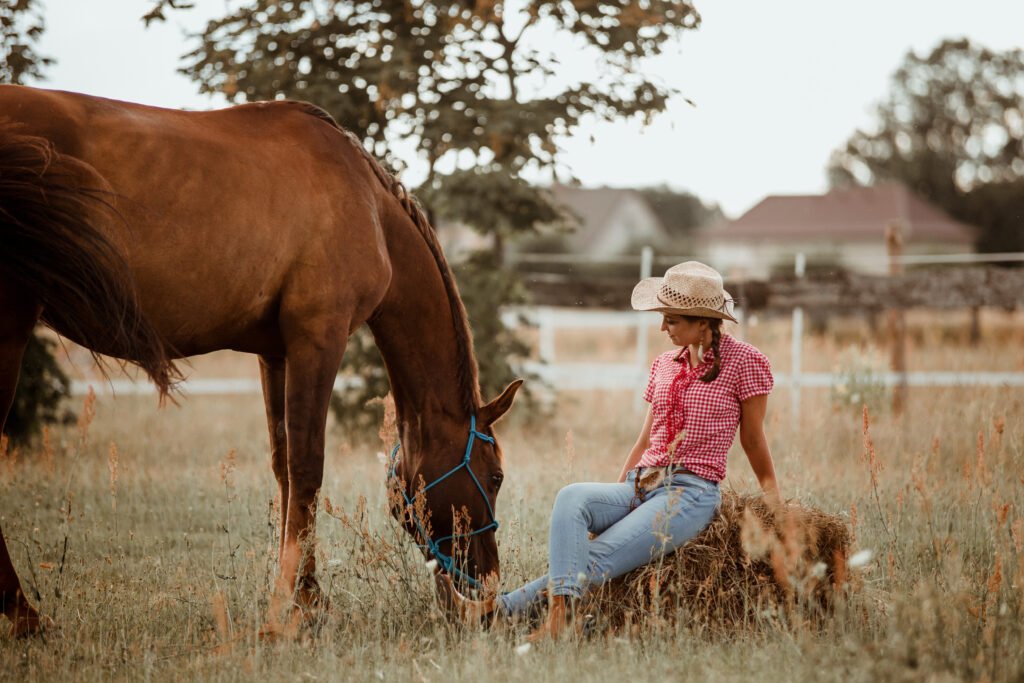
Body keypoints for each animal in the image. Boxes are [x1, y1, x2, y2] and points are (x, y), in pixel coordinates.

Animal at [0, 83, 520, 634]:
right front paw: (283, 611)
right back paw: (25, 616)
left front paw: (308, 598)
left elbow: (284, 470)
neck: (370, 208)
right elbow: (308, 468)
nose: (487, 583)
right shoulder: (319, 339)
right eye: (495, 477)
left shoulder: (275, 353)